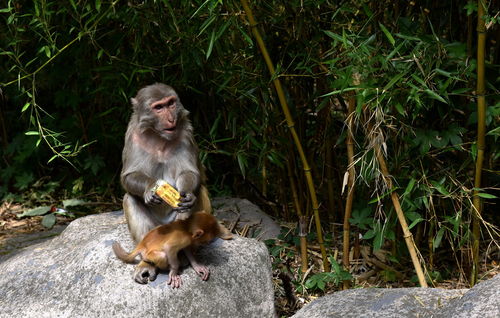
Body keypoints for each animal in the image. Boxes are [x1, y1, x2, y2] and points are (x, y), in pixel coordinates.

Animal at [121, 84, 211, 284]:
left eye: (171, 103)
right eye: (158, 107)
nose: (171, 118)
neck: (159, 137)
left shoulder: (186, 134)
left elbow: (190, 173)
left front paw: (187, 196)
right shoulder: (132, 136)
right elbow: (127, 177)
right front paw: (150, 189)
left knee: (199, 192)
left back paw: (191, 257)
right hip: (156, 232)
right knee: (130, 199)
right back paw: (147, 263)